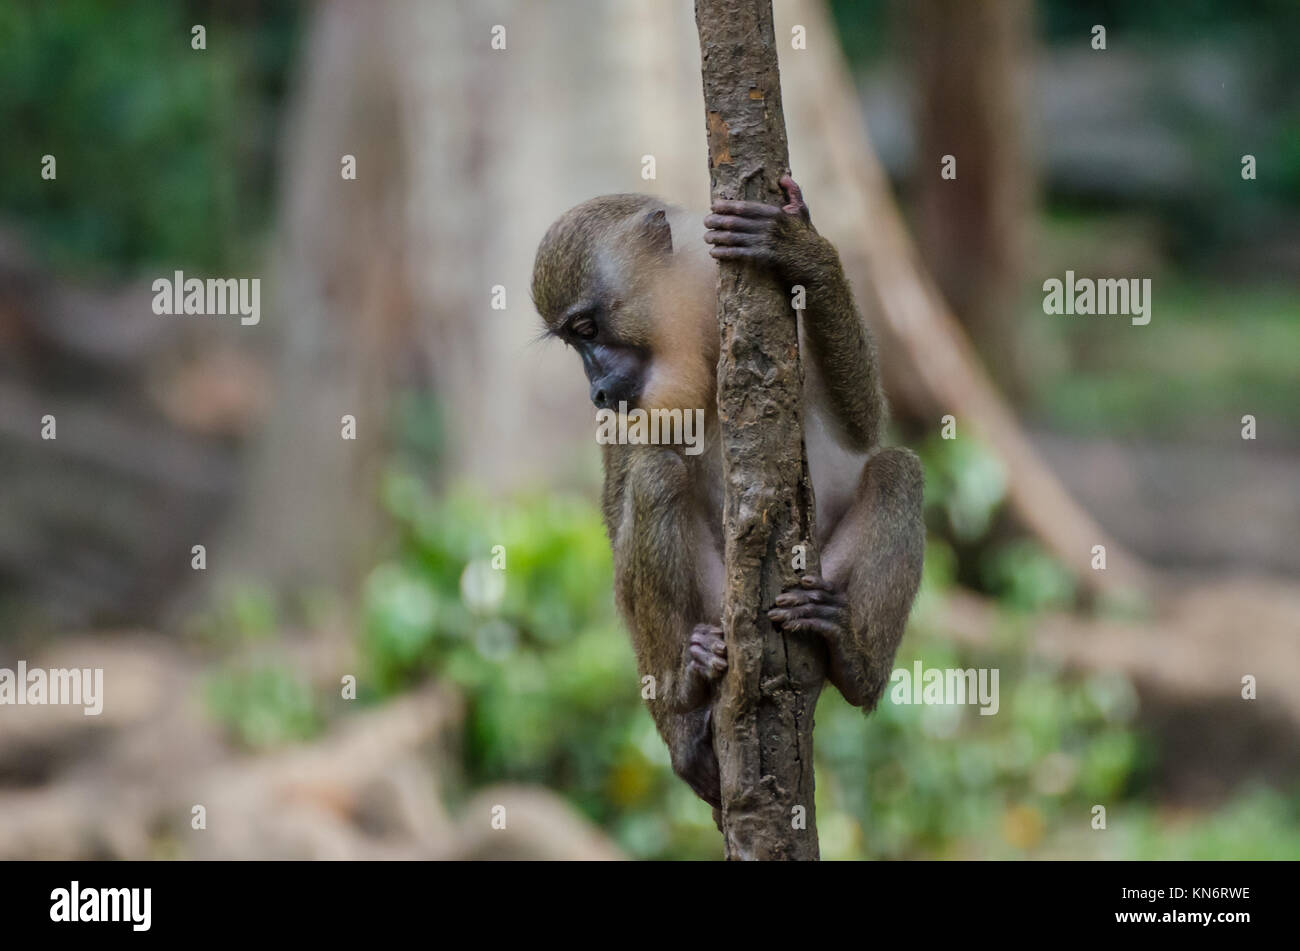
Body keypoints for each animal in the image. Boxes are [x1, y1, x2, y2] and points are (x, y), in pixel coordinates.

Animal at [530, 172, 925, 810]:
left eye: (586, 330)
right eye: (573, 342)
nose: (596, 391)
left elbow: (866, 426)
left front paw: (803, 248)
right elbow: (618, 512)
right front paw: (679, 733)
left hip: (814, 577)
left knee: (898, 471)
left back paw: (854, 663)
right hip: (717, 604)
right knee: (656, 475)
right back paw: (688, 685)